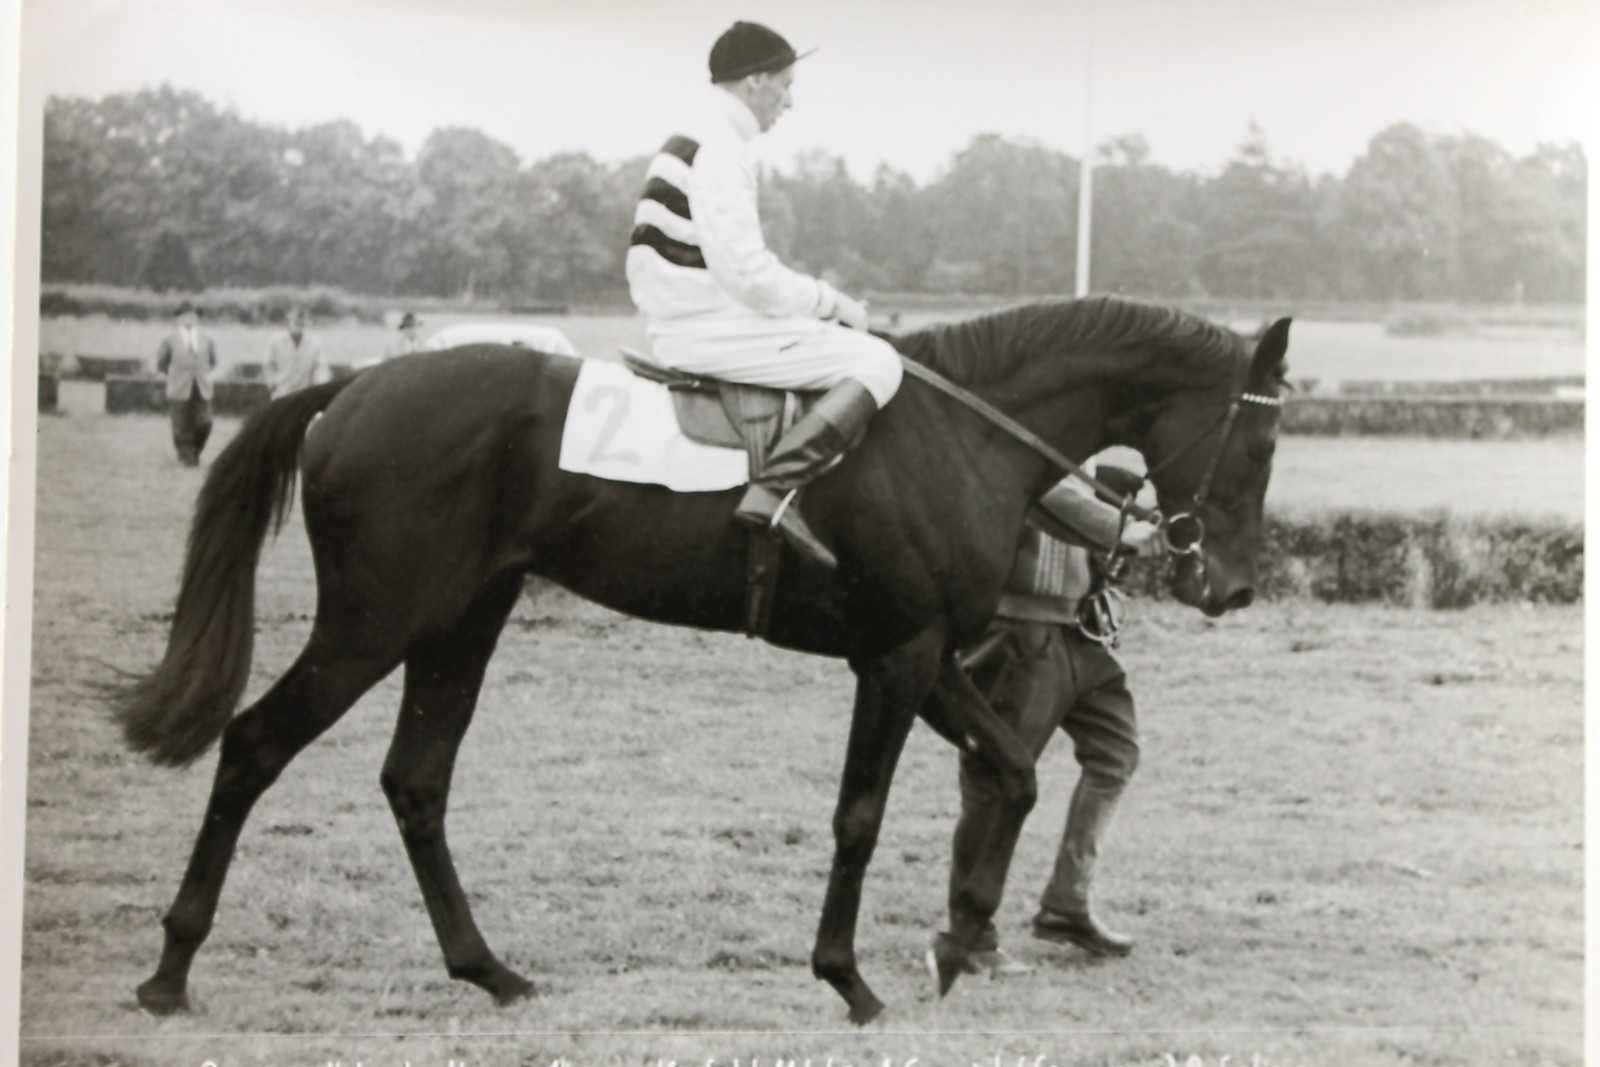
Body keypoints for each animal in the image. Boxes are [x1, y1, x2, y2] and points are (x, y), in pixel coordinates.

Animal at [115, 295, 1290, 1024]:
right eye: (1267, 438)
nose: (1230, 583)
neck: (962, 436)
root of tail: (350, 390)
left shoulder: (927, 653)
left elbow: (1012, 769)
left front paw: (960, 944)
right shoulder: (895, 657)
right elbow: (860, 817)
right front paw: (848, 977)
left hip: (460, 622)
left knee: (415, 779)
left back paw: (487, 967)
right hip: (374, 622)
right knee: (254, 744)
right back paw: (170, 967)